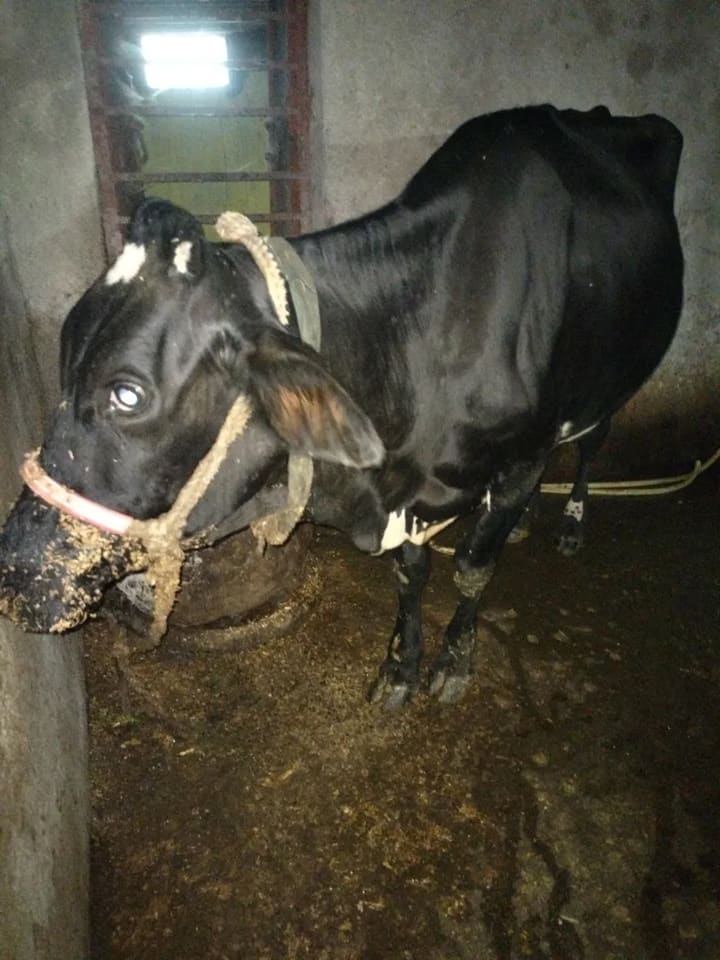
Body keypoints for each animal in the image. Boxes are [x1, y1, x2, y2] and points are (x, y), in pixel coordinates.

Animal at [0, 104, 683, 707]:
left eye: (127, 393)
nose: (13, 575)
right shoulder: (409, 492)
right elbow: (412, 574)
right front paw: (400, 668)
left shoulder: (521, 456)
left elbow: (471, 570)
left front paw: (454, 662)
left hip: (618, 375)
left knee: (593, 442)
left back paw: (569, 521)